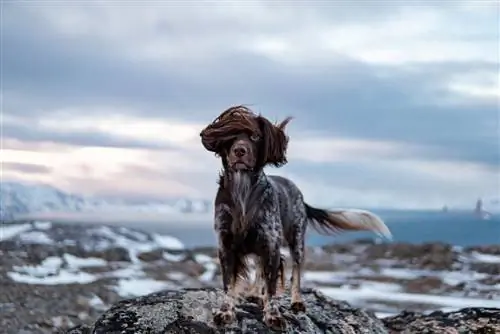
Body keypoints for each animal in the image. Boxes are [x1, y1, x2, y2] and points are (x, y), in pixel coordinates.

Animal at [200, 105, 394, 330]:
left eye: (255, 136)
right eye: (230, 136)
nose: (239, 151)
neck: (243, 191)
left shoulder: (271, 244)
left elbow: (272, 287)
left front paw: (273, 315)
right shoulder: (226, 245)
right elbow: (229, 283)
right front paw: (226, 312)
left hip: (297, 239)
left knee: (296, 272)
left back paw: (296, 301)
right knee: (260, 270)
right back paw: (256, 294)